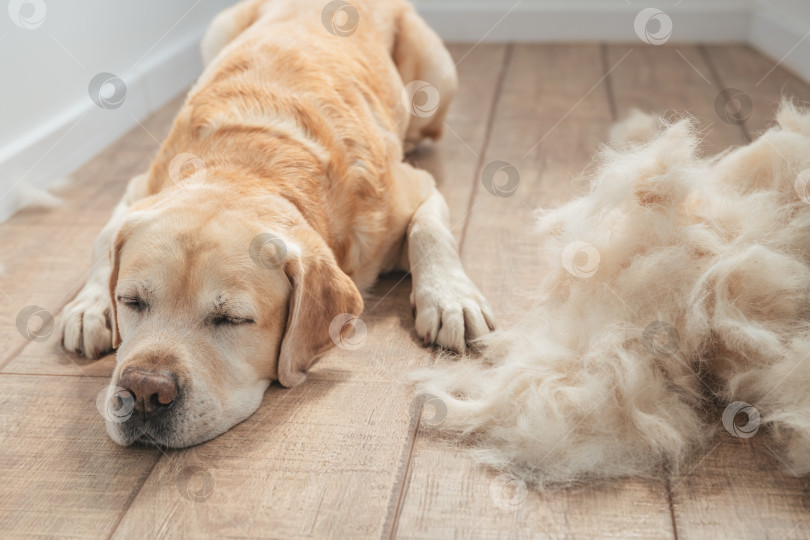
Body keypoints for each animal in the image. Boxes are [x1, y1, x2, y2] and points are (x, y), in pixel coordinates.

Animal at [60, 0, 490, 448]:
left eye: (232, 319)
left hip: (439, 80)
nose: (144, 390)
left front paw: (450, 299)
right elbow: (103, 237)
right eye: (131, 301)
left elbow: (428, 229)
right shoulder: (139, 187)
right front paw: (90, 306)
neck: (249, 163)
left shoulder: (416, 188)